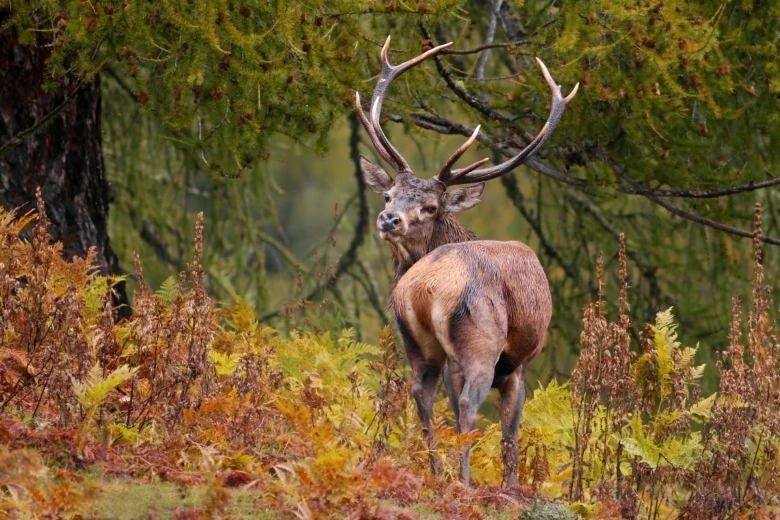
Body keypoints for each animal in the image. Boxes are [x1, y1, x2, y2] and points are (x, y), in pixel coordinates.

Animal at [355, 36, 578, 487]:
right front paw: (511, 487)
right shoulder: (519, 365)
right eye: (388, 195)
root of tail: (423, 288)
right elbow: (511, 431)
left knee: (420, 393)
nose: (388, 218)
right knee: (469, 408)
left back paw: (437, 473)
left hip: (419, 343)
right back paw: (465, 482)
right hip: (481, 341)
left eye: (429, 206)